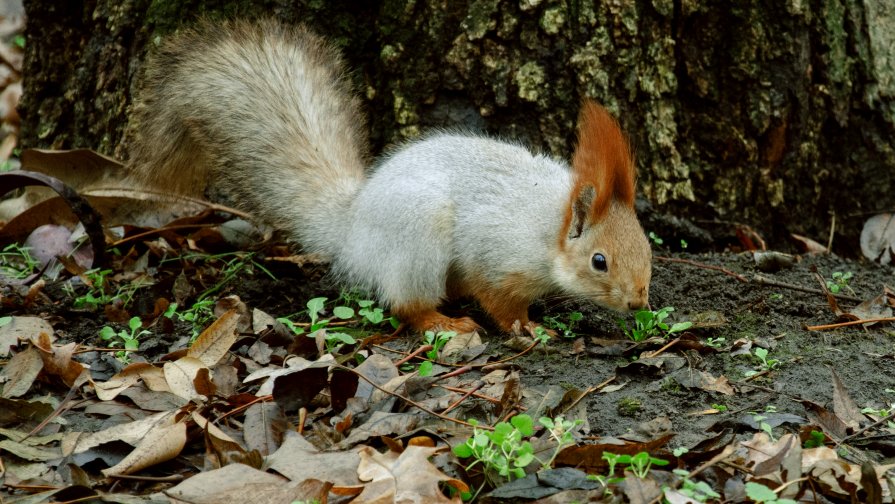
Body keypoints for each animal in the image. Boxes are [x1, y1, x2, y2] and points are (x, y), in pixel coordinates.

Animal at [128, 18, 652, 334]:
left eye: (647, 249)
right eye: (599, 261)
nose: (638, 303)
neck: (549, 228)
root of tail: (352, 227)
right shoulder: (495, 254)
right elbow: (498, 299)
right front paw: (526, 327)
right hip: (418, 237)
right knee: (406, 303)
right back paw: (444, 323)